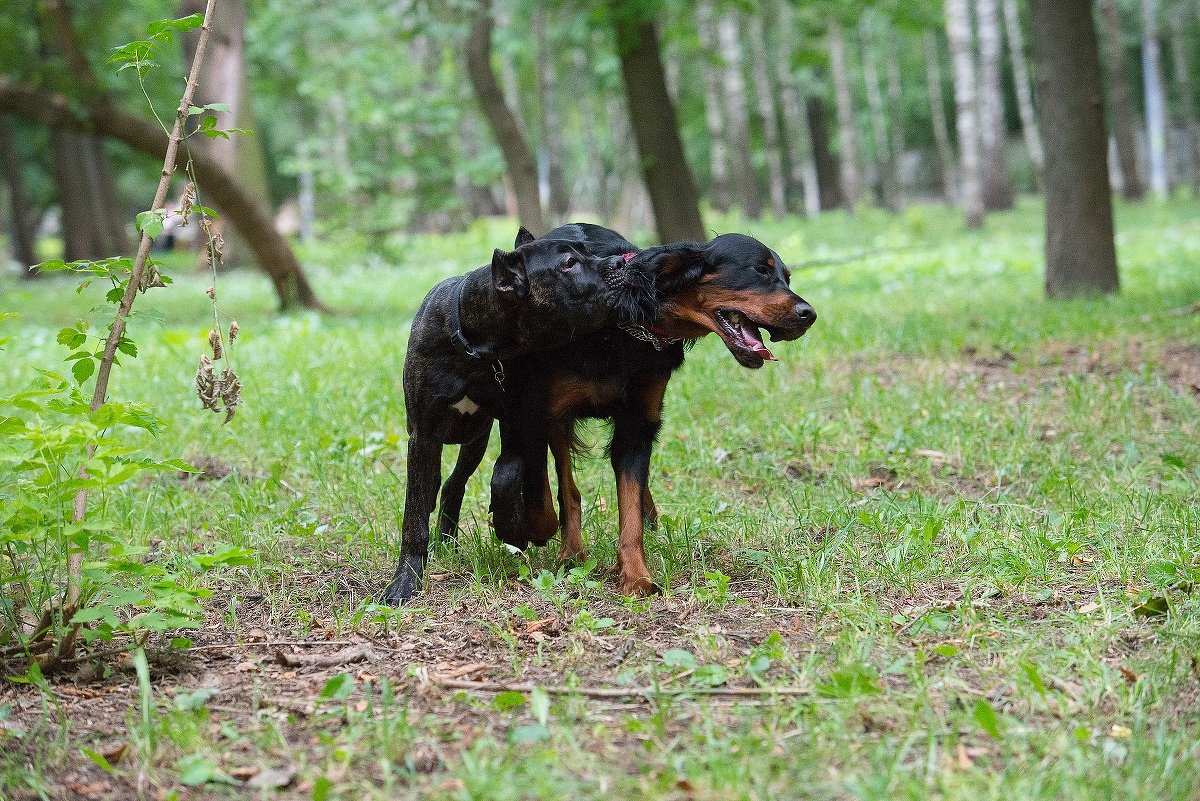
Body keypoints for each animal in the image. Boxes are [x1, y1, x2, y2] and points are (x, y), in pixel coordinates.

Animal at [381, 241, 657, 604]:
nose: (619, 262)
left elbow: (507, 472)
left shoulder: (516, 422)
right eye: (569, 263)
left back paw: (450, 540)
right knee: (439, 488)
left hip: (476, 440)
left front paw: (511, 527)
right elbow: (414, 517)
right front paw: (404, 581)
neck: (476, 349)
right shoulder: (423, 437)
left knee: (455, 484)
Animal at [441, 221, 816, 597]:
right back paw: (570, 549)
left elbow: (630, 503)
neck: (620, 325)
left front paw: (636, 575)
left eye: (787, 277)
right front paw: (538, 534)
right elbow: (544, 495)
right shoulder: (537, 413)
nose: (809, 315)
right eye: (759, 270)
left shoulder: (637, 422)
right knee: (564, 483)